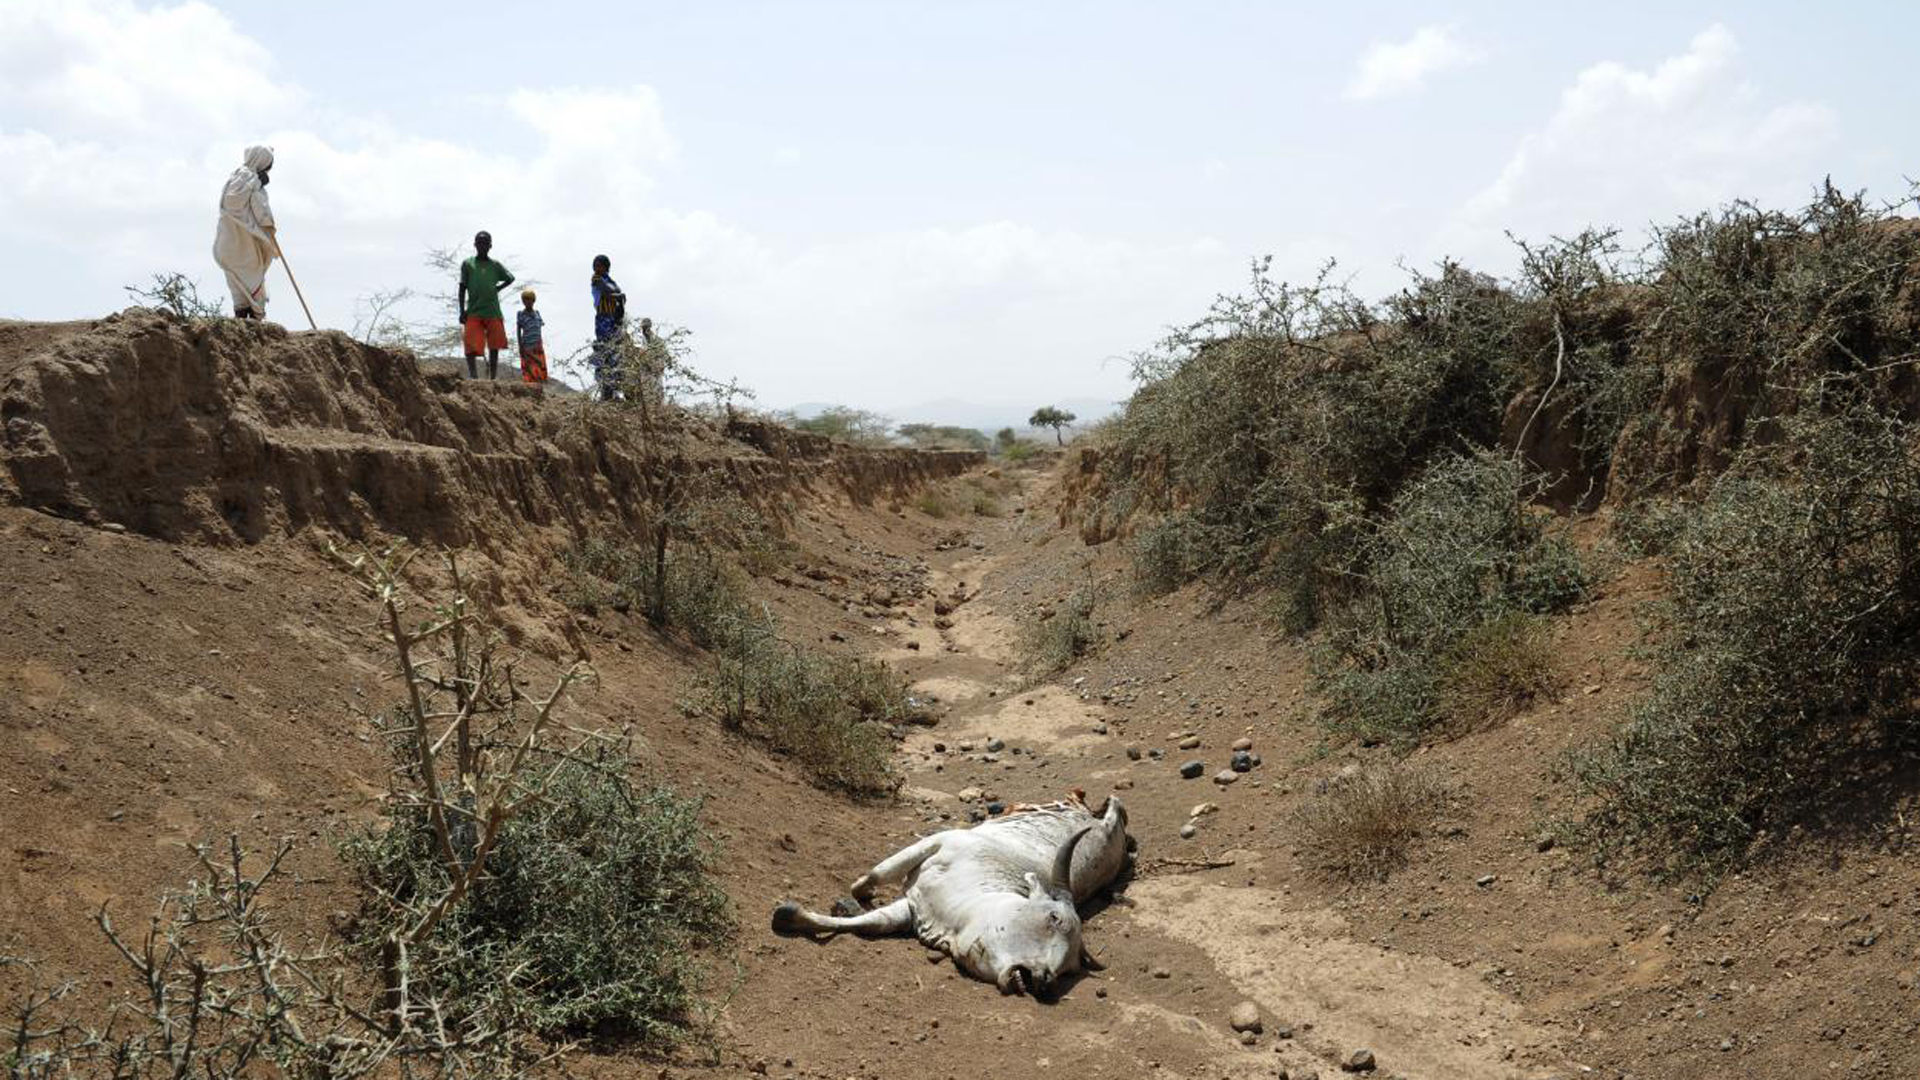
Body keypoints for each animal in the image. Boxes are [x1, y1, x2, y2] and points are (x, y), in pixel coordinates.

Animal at [768, 791, 1128, 991]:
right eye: (1053, 918)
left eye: (1072, 967)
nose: (1046, 980)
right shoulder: (940, 844)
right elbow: (873, 879)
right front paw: (847, 899)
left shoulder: (912, 911)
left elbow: (874, 923)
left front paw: (794, 915)